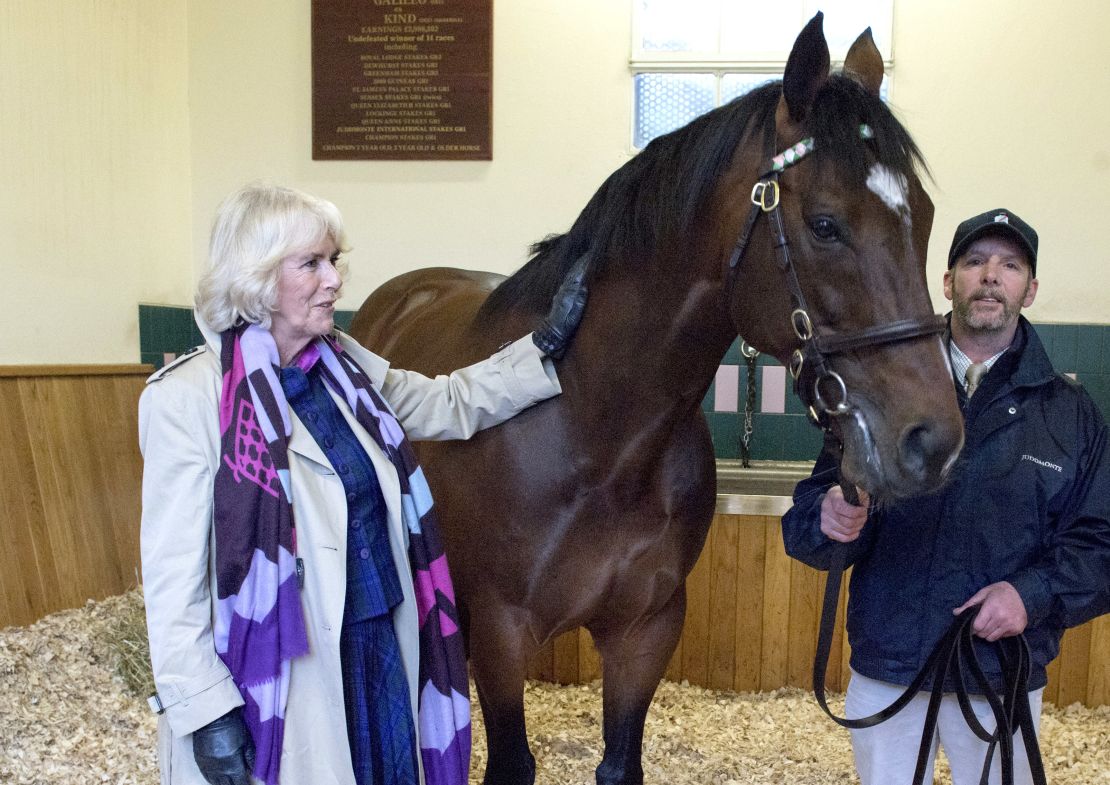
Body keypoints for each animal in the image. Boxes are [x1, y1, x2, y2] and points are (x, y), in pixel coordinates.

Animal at [352, 13, 963, 785]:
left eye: (925, 216)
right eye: (825, 223)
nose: (933, 440)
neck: (595, 433)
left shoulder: (646, 632)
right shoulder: (500, 633)